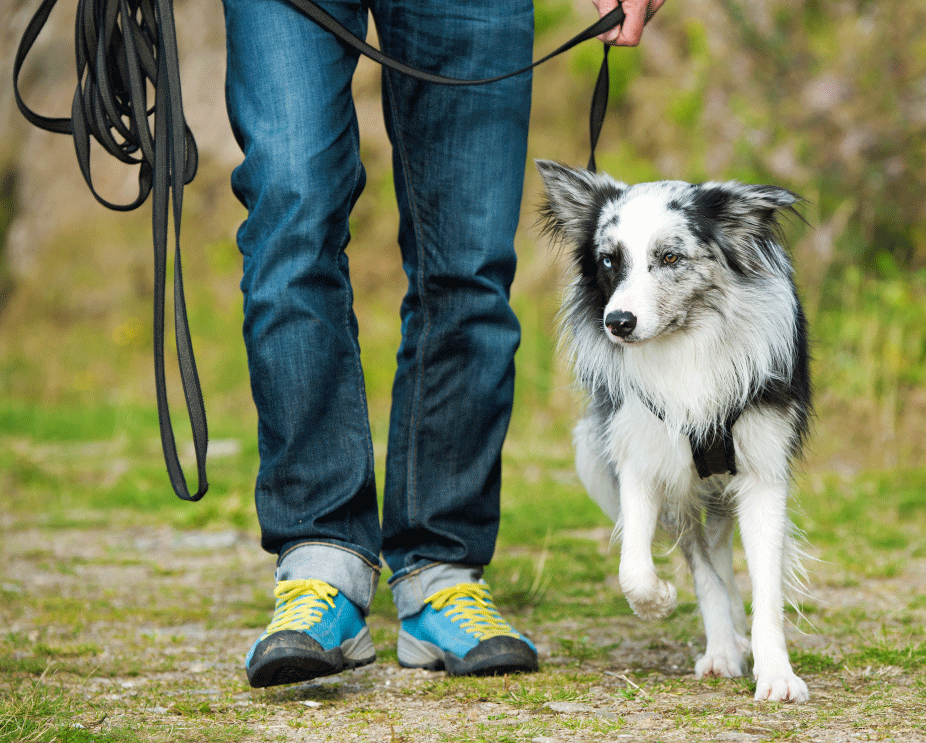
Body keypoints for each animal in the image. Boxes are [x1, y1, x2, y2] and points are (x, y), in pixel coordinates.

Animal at [536, 161, 812, 704]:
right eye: (608, 260)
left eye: (669, 257)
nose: (618, 322)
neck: (686, 346)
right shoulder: (644, 460)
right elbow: (638, 569)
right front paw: (661, 602)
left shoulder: (762, 473)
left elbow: (766, 587)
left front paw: (776, 674)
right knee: (711, 562)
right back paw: (724, 645)